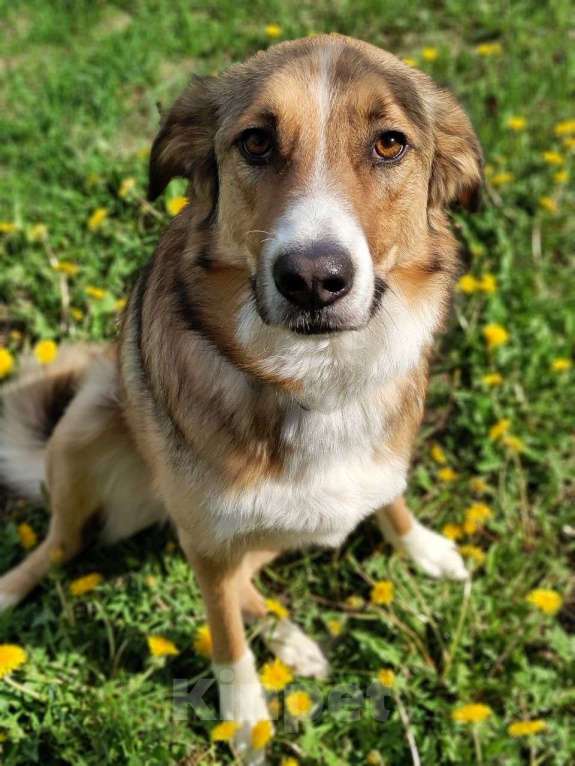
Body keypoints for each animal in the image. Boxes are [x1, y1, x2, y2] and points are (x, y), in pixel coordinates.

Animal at [0, 34, 482, 760]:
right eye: (255, 142)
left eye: (390, 144)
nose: (312, 280)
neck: (313, 377)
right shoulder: (206, 540)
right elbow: (224, 635)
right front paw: (246, 715)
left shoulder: (377, 461)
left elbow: (389, 494)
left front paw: (421, 545)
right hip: (88, 427)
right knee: (61, 547)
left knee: (250, 578)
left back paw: (294, 640)